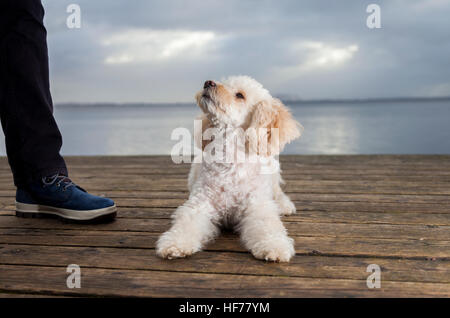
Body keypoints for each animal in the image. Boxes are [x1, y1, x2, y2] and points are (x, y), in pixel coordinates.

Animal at [157, 76, 302, 262]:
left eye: (240, 95)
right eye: (223, 82)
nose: (208, 82)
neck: (230, 160)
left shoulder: (257, 206)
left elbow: (267, 225)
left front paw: (275, 246)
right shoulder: (199, 204)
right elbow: (186, 224)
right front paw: (175, 243)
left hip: (273, 170)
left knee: (277, 191)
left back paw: (284, 205)